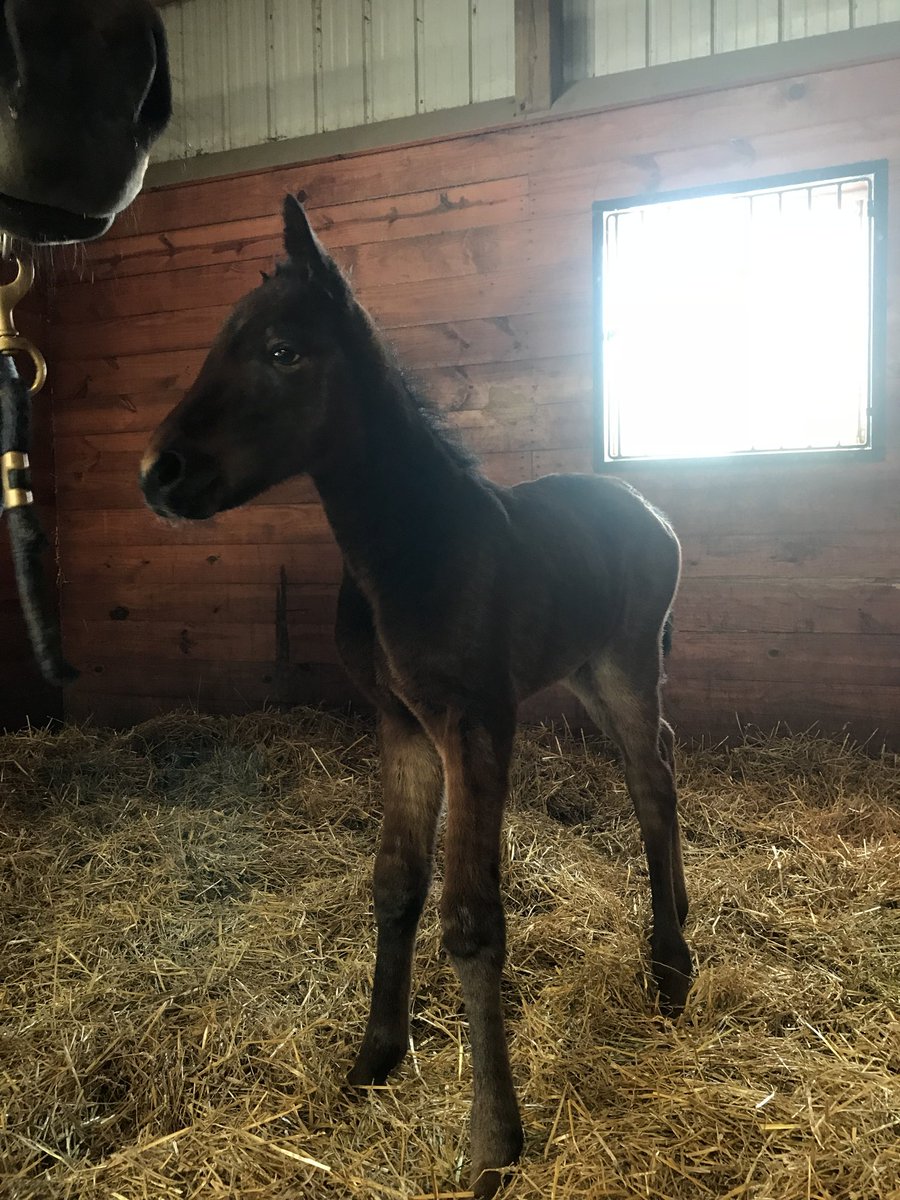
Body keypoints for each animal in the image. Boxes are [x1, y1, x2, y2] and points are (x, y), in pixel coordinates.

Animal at [140, 195, 693, 1198]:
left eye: (283, 350)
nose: (157, 474)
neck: (411, 548)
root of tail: (652, 511)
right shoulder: (400, 725)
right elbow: (395, 883)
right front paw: (373, 1059)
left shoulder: (476, 723)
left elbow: (471, 920)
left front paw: (493, 1142)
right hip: (586, 671)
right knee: (662, 762)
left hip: (627, 662)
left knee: (651, 786)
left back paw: (671, 968)